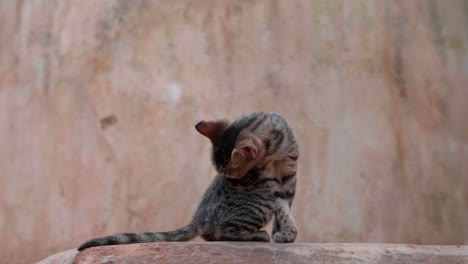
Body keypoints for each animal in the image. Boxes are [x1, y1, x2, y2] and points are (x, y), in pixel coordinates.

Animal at [76, 112, 296, 251]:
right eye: (227, 174)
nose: (227, 180)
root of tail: (200, 217)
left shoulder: (289, 177)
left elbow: (285, 210)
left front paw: (283, 232)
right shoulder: (276, 183)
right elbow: (284, 209)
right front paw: (286, 233)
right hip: (260, 204)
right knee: (222, 231)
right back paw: (259, 235)